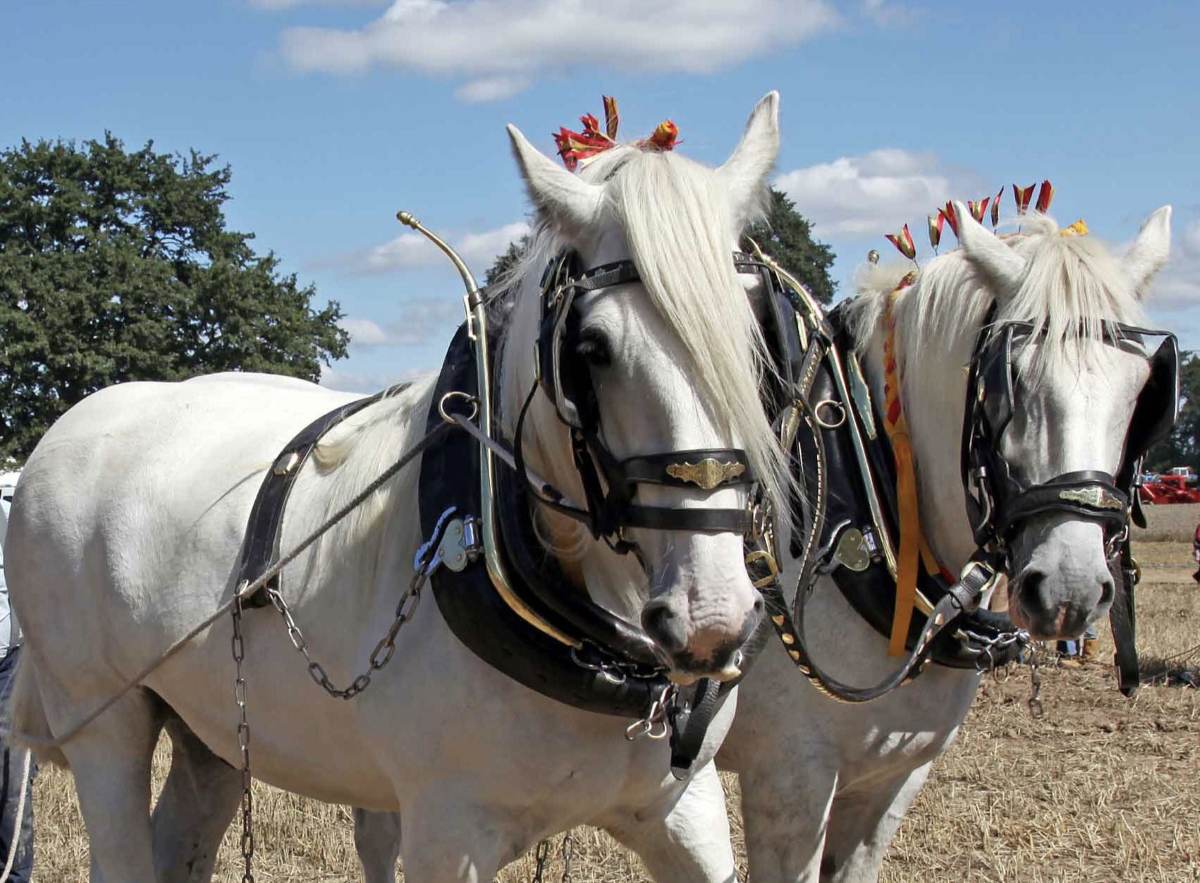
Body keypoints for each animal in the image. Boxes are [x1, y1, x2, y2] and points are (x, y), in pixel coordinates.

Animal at [3, 93, 793, 883]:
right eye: (592, 347)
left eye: (758, 341)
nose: (711, 617)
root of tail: (68, 427)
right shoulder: (451, 829)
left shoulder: (686, 810)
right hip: (102, 718)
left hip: (211, 724)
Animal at [353, 198, 1177, 882]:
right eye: (1010, 383)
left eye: (1142, 389)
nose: (1070, 588)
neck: (871, 490)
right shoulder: (793, 777)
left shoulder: (892, 780)